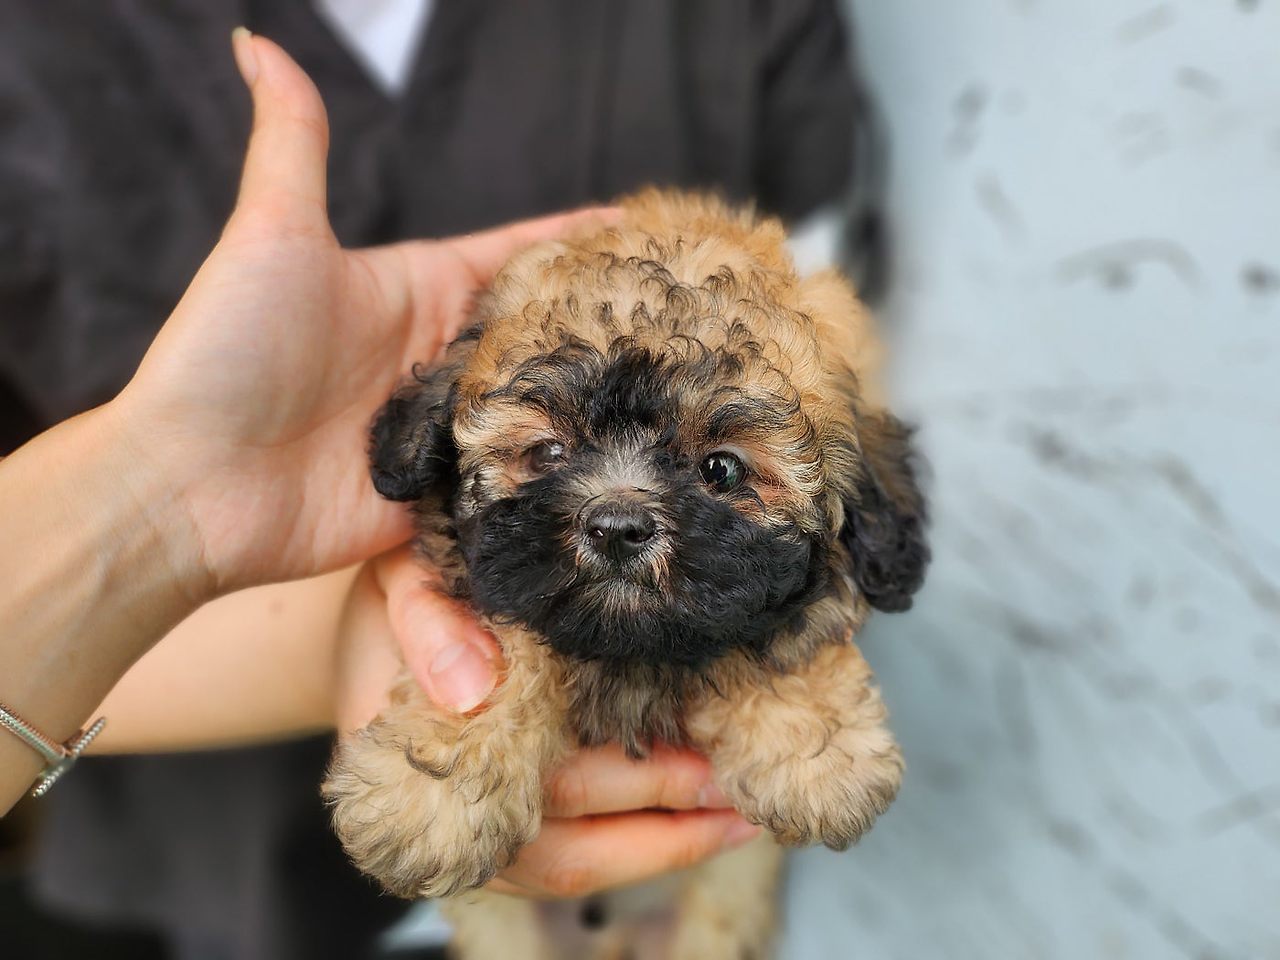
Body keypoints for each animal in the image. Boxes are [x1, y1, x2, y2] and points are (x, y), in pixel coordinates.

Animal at [323, 191, 928, 959]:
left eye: (722, 469)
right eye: (547, 452)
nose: (616, 526)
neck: (631, 658)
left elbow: (778, 633)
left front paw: (818, 757)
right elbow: (508, 654)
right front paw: (429, 799)